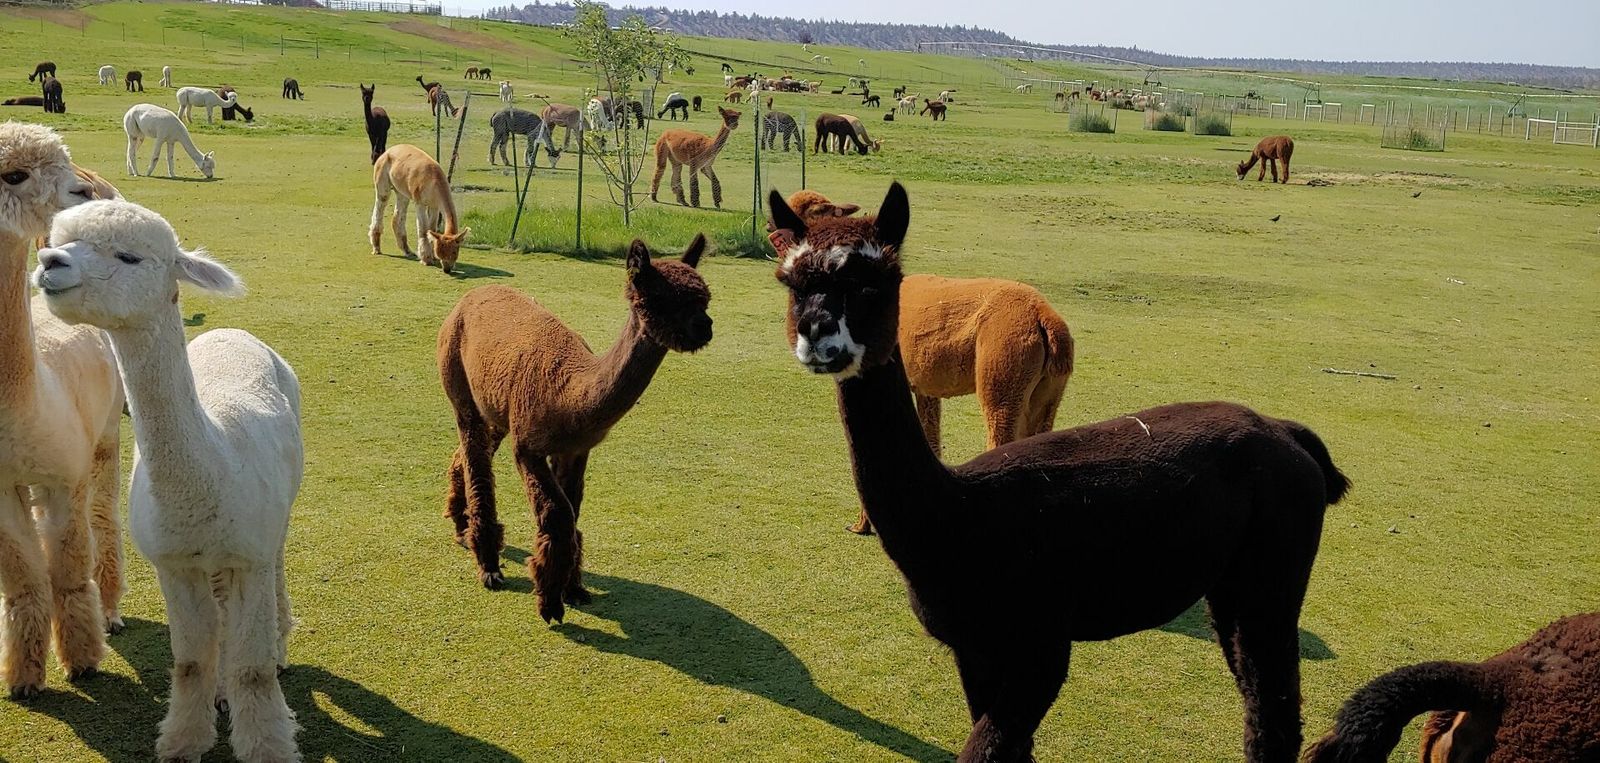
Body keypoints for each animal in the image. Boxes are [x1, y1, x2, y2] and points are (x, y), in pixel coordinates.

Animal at [36, 199, 302, 763]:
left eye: (129, 256)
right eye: (60, 239)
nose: (49, 262)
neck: (211, 470)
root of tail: (231, 333)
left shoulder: (248, 551)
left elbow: (253, 668)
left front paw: (268, 745)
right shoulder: (175, 562)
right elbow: (190, 661)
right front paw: (183, 740)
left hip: (276, 518)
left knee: (277, 570)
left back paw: (278, 650)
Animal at [370, 144, 470, 274]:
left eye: (454, 252)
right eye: (441, 253)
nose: (447, 269)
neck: (435, 183)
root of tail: (388, 150)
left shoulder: (434, 205)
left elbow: (432, 229)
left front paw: (431, 256)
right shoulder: (420, 202)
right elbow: (423, 230)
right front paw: (426, 259)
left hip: (402, 191)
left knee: (397, 218)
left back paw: (407, 251)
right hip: (382, 179)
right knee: (380, 205)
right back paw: (377, 248)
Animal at [437, 237, 713, 623]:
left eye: (704, 298)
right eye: (659, 297)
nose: (704, 326)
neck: (569, 394)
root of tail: (471, 295)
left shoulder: (576, 449)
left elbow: (573, 509)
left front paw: (573, 589)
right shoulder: (529, 446)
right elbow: (557, 515)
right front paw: (550, 602)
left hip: (496, 408)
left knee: (465, 455)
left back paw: (461, 524)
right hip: (459, 383)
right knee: (476, 460)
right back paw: (489, 565)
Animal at [767, 181, 1346, 762]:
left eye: (873, 284)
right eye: (792, 281)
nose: (817, 335)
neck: (957, 514)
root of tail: (1285, 432)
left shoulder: (1041, 642)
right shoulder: (974, 648)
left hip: (1274, 570)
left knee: (1273, 708)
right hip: (1229, 584)